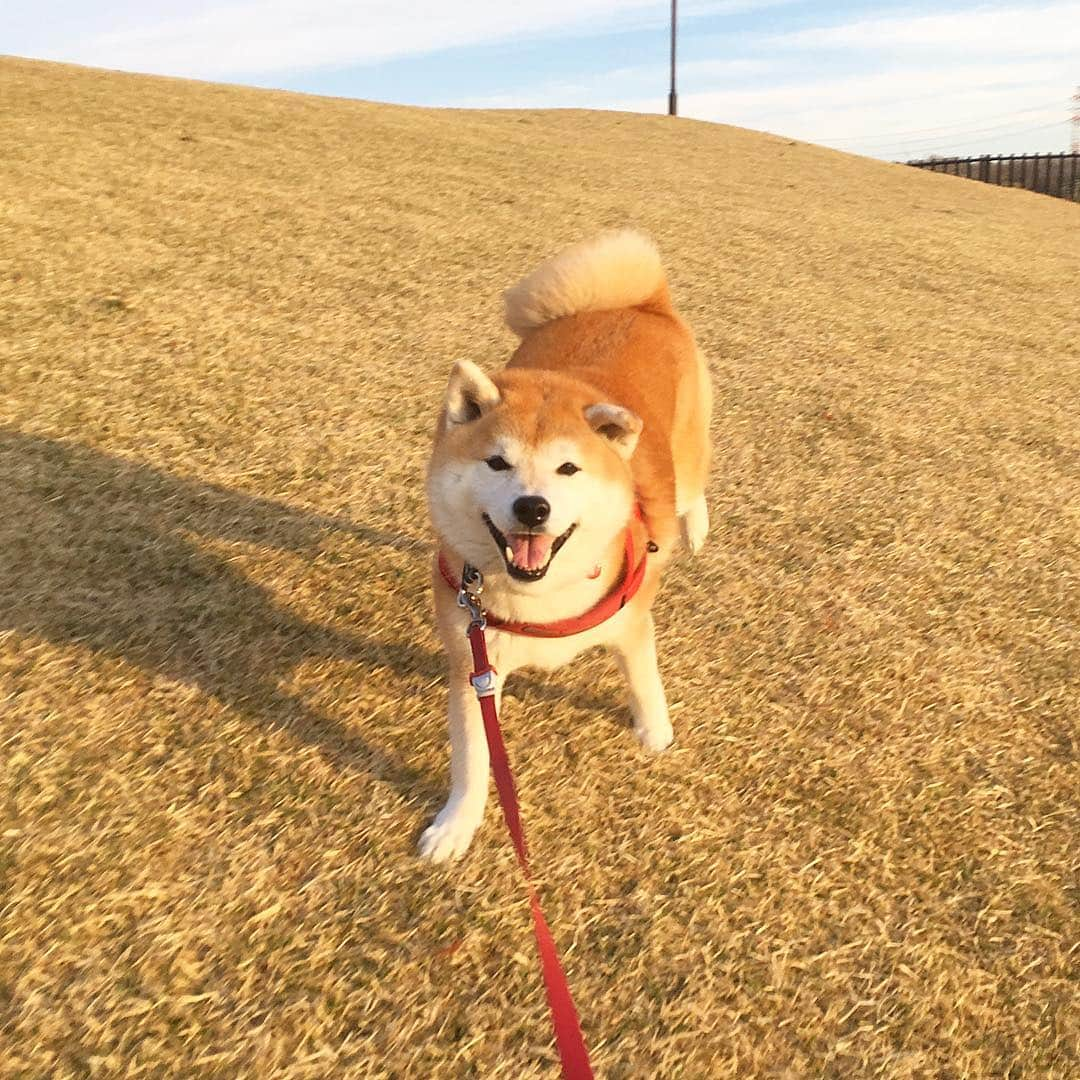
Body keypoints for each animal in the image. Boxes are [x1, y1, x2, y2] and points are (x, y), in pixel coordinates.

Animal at [419, 230, 708, 859]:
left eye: (568, 468)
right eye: (497, 463)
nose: (533, 508)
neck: (541, 596)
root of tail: (640, 301)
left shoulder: (632, 623)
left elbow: (644, 679)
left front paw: (655, 731)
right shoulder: (476, 665)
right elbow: (473, 762)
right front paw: (456, 826)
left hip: (692, 447)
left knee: (695, 485)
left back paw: (696, 527)